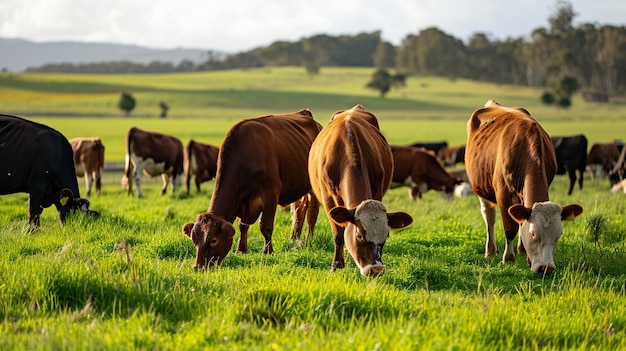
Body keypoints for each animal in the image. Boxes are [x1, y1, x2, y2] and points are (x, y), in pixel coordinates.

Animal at [179, 109, 316, 270]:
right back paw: (295, 239)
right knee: (299, 212)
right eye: (194, 240)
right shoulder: (242, 200)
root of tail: (305, 112)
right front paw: (241, 250)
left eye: (213, 240)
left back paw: (309, 239)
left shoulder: (271, 193)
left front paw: (268, 252)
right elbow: (242, 226)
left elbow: (265, 226)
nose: (198, 267)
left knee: (312, 215)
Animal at [308, 104, 414, 278]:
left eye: (386, 235)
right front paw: (336, 266)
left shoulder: (378, 191)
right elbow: (339, 235)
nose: (376, 269)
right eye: (359, 235)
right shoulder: (328, 198)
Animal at [464, 99, 580, 276]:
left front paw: (523, 251)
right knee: (489, 217)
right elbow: (510, 228)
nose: (547, 268)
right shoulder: (503, 194)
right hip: (481, 189)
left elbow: (520, 222)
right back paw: (490, 251)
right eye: (533, 234)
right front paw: (508, 258)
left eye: (558, 235)